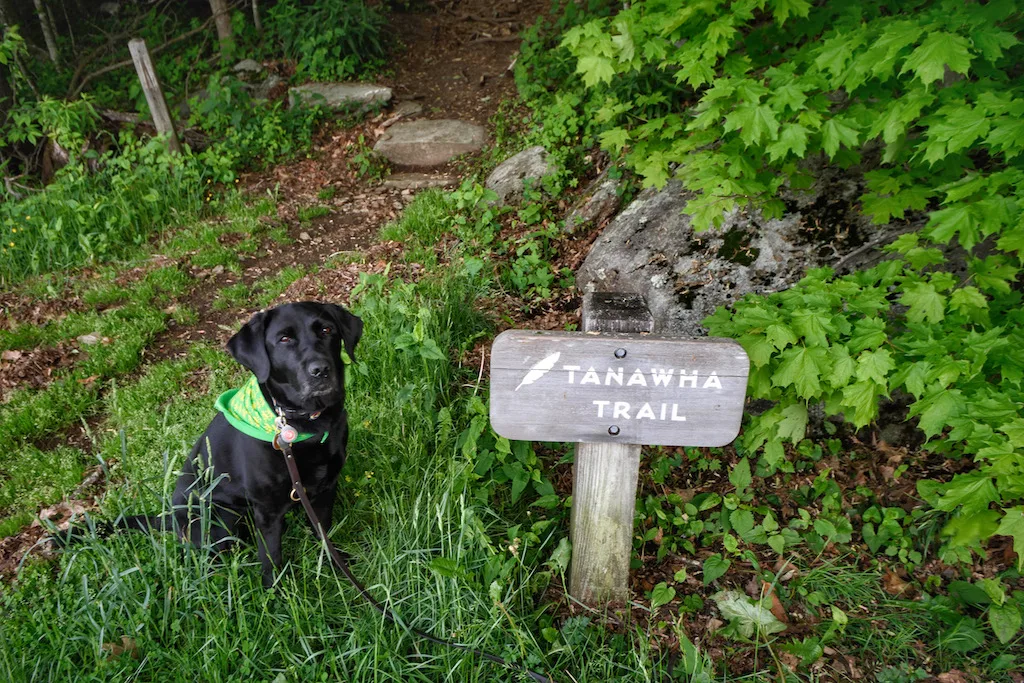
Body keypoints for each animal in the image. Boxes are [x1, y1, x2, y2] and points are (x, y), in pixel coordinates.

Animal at [114, 303, 362, 589]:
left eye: (326, 330)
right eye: (284, 339)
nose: (320, 369)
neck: (306, 426)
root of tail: (169, 517)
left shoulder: (325, 490)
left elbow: (324, 534)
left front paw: (337, 566)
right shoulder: (267, 510)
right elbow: (271, 556)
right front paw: (275, 591)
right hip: (222, 519)